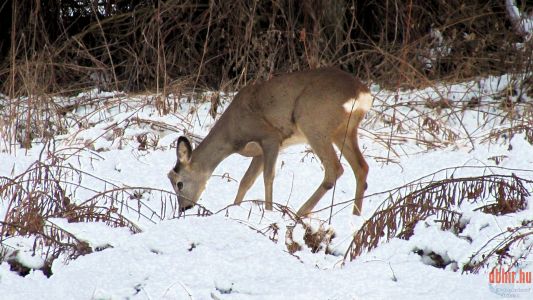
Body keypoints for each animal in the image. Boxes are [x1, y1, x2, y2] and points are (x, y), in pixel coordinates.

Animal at [168, 68, 372, 216]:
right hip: (344, 131)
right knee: (361, 167)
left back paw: (300, 213)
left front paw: (269, 212)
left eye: (179, 183)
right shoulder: (260, 151)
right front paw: (234, 208)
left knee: (335, 169)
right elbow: (246, 181)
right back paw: (356, 215)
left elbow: (268, 177)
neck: (233, 135)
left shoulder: (271, 137)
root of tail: (361, 92)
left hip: (313, 123)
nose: (184, 208)